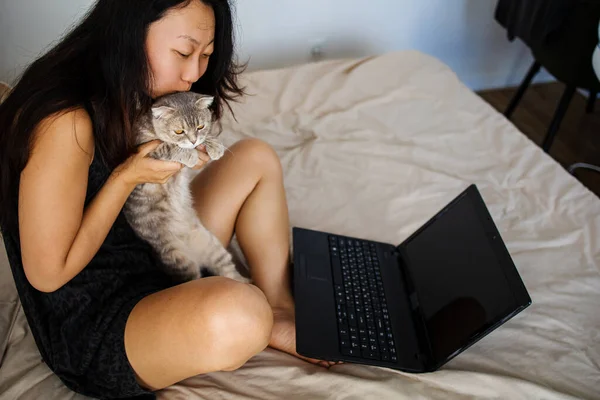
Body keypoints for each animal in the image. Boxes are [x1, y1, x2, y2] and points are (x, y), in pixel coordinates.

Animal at [124, 91, 251, 284]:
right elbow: (168, 146)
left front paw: (214, 145)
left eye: (200, 126)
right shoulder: (145, 152)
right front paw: (189, 154)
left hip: (212, 245)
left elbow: (207, 138)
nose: (192, 141)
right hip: (180, 260)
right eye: (179, 131)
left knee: (228, 271)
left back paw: (246, 283)